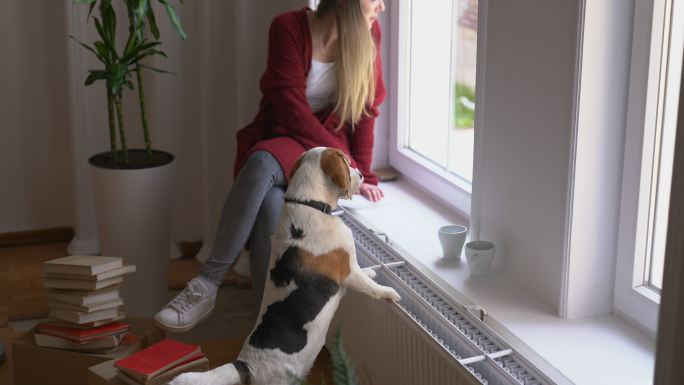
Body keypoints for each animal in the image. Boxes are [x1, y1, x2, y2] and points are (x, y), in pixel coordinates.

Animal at [170, 146, 400, 382]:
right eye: (346, 161)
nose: (362, 175)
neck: (309, 204)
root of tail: (245, 364)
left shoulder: (352, 267)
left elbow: (365, 273)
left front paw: (371, 272)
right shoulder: (348, 271)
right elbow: (371, 287)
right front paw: (389, 292)